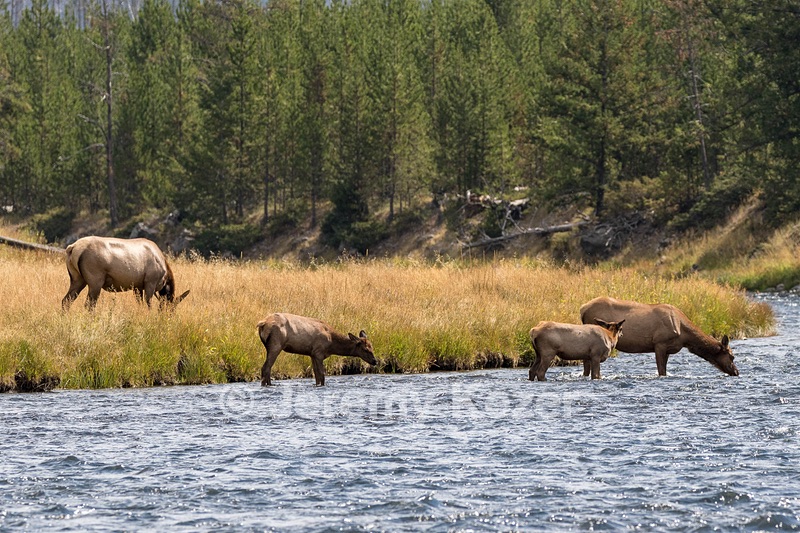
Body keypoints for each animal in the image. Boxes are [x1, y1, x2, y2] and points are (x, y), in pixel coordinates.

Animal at [579, 296, 738, 377]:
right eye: (732, 356)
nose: (736, 371)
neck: (684, 335)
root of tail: (582, 309)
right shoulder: (659, 343)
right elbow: (661, 370)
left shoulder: (667, 349)